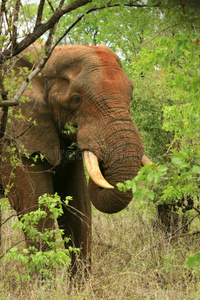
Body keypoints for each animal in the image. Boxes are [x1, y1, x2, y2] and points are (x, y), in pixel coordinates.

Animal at [0, 44, 151, 272]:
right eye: (76, 99)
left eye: (130, 96)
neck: (49, 56)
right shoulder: (13, 138)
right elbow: (35, 206)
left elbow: (78, 204)